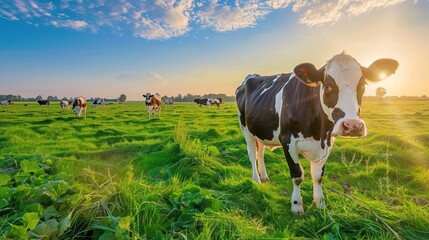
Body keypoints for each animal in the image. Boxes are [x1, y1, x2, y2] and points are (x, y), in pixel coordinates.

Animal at [234, 52, 398, 214]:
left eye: (363, 85)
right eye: (328, 86)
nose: (353, 126)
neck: (319, 133)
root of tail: (252, 76)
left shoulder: (328, 142)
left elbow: (318, 176)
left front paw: (319, 202)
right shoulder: (287, 140)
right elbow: (297, 175)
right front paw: (296, 205)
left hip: (259, 130)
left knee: (260, 151)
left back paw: (264, 176)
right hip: (245, 127)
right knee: (252, 153)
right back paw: (256, 179)